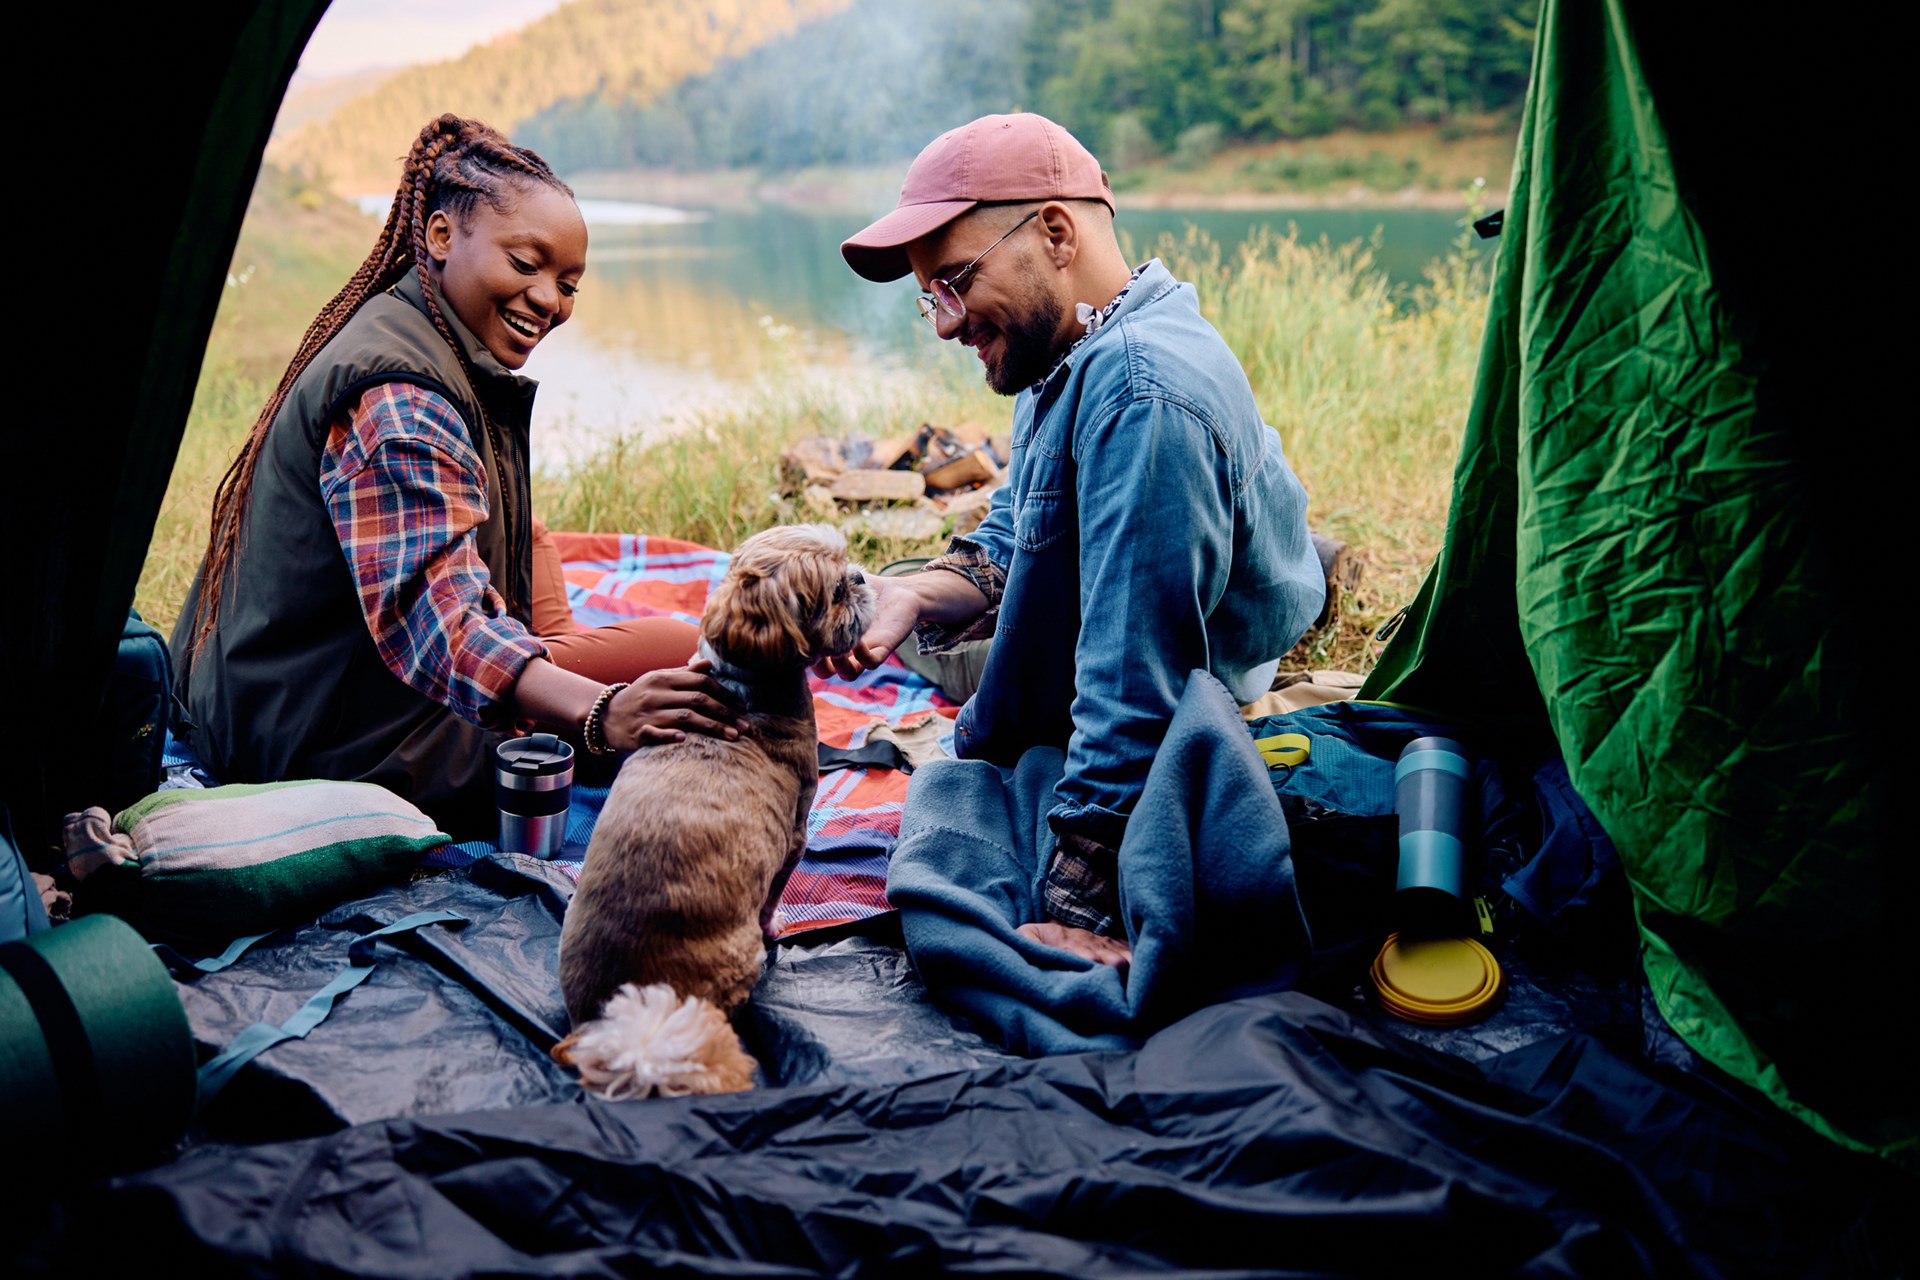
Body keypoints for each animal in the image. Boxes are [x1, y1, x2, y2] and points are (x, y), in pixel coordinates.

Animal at [552, 525, 875, 1097]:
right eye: (837, 590)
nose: (859, 576)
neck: (742, 689)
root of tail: (623, 1029)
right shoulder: (793, 838)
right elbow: (776, 893)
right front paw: (778, 924)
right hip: (737, 958)